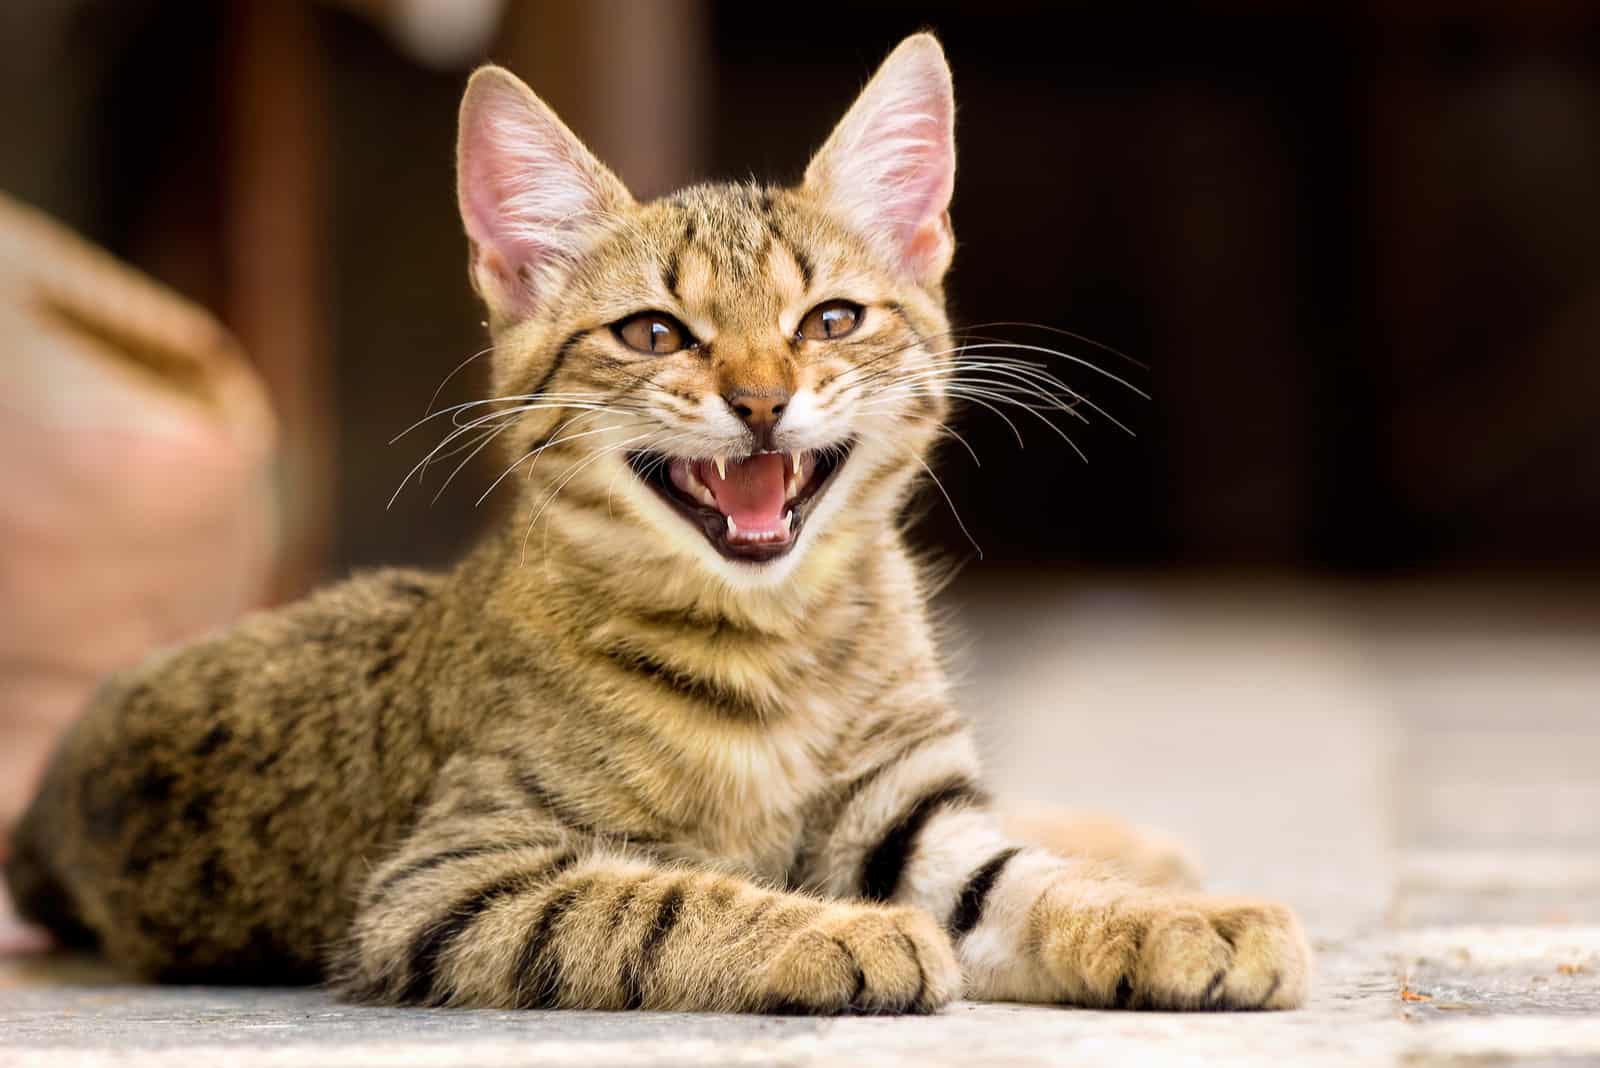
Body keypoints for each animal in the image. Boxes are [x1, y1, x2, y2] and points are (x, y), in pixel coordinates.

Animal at [6, 33, 1305, 1016]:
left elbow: (1025, 881)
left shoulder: (907, 816)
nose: (761, 399)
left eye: (830, 320)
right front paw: (835, 932)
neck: (785, 646)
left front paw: (1172, 919)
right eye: (653, 334)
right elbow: (656, 900)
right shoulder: (449, 882)